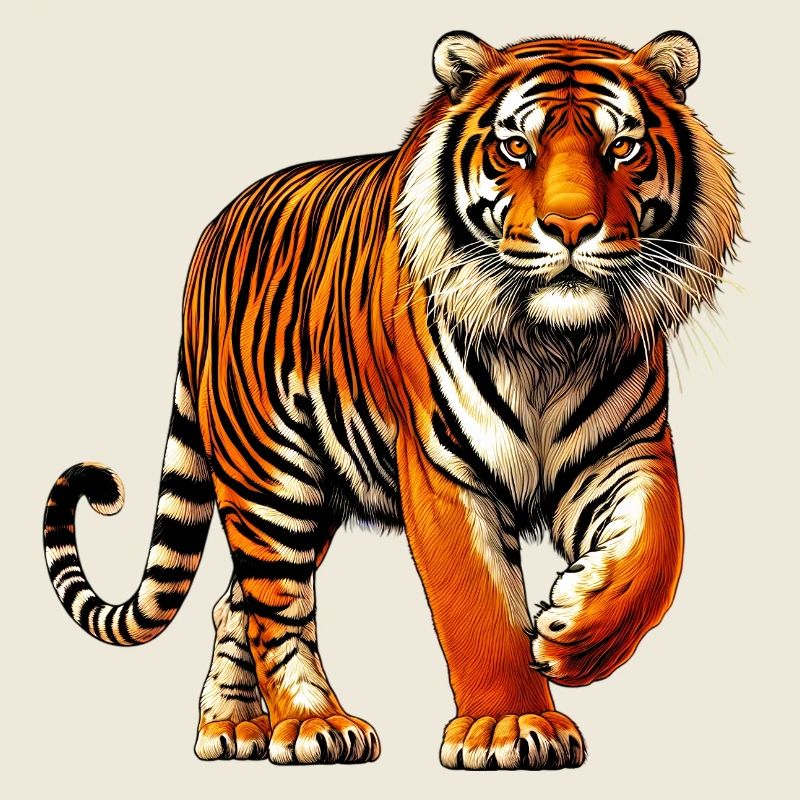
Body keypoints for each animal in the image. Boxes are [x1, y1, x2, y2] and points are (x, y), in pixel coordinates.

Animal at [43, 30, 740, 769]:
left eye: (623, 148)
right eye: (516, 148)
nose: (571, 226)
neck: (552, 346)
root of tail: (210, 236)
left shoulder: (632, 451)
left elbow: (658, 552)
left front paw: (577, 633)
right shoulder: (443, 468)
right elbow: (479, 605)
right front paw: (511, 724)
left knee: (235, 602)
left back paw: (231, 728)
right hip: (269, 478)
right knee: (277, 604)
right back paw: (313, 724)